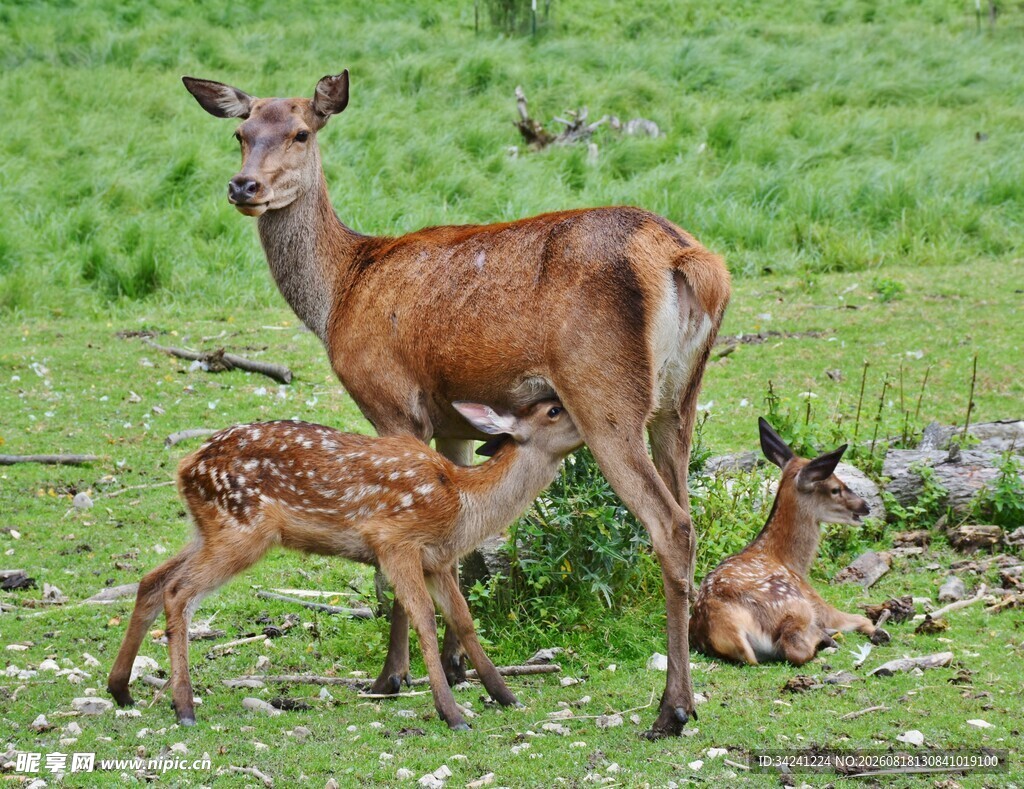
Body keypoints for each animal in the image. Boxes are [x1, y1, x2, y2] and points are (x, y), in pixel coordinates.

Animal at [107, 399, 582, 730]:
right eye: (554, 409)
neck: (464, 504)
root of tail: (185, 467)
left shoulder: (437, 560)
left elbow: (463, 620)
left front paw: (505, 695)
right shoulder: (395, 541)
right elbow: (424, 619)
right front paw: (452, 714)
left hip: (209, 528)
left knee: (152, 580)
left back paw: (121, 690)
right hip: (242, 529)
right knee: (178, 592)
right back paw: (183, 707)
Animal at [180, 69, 730, 737]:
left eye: (301, 131)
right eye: (240, 132)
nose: (245, 186)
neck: (340, 295)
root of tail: (687, 261)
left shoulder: (392, 402)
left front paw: (391, 676)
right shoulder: (452, 424)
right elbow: (460, 550)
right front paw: (456, 666)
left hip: (605, 396)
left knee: (669, 524)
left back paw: (670, 709)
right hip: (679, 401)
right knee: (687, 511)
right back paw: (690, 696)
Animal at [690, 418, 891, 666]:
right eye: (835, 488)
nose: (865, 506)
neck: (790, 562)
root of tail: (727, 628)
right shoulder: (816, 601)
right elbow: (860, 618)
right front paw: (879, 631)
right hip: (795, 606)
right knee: (795, 647)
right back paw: (828, 638)